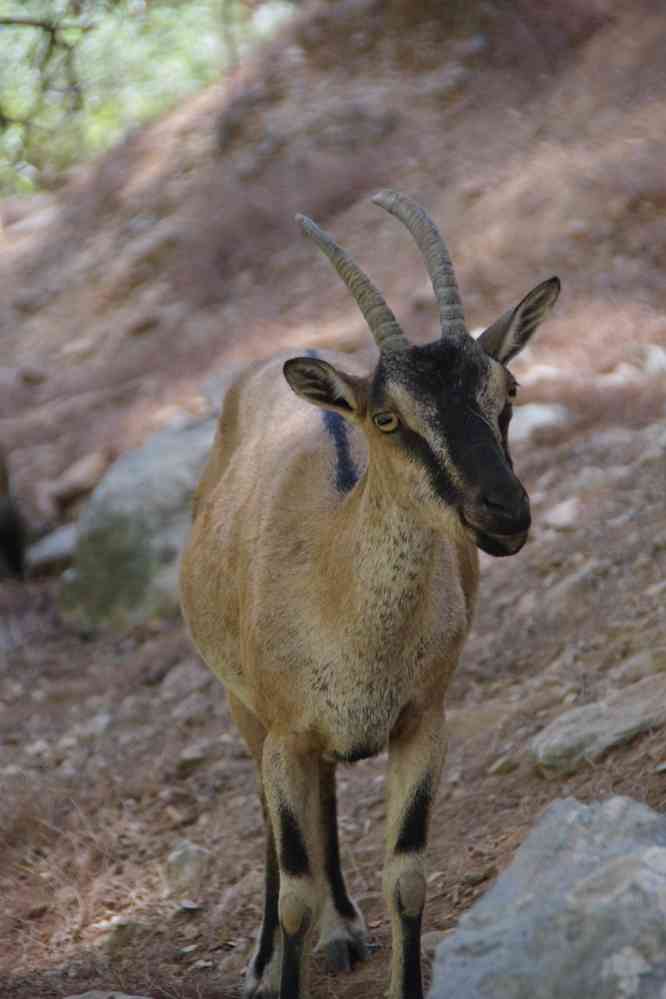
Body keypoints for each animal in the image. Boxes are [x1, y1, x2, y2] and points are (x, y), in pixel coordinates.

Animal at [180, 190, 560, 999]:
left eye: (506, 391)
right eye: (389, 419)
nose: (504, 512)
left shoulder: (423, 720)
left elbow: (408, 875)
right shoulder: (283, 730)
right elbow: (293, 887)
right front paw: (279, 963)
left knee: (326, 797)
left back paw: (346, 928)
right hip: (243, 707)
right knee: (271, 821)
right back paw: (264, 959)